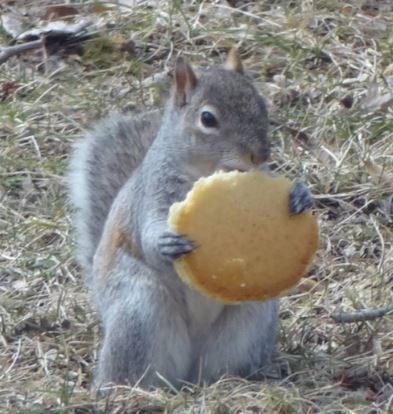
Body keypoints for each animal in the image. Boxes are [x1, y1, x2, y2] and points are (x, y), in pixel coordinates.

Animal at [68, 48, 312, 388]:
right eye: (207, 118)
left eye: (261, 104)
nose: (260, 155)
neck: (207, 169)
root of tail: (187, 377)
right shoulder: (152, 193)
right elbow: (148, 231)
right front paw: (165, 243)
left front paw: (300, 195)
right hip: (138, 310)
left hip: (251, 319)